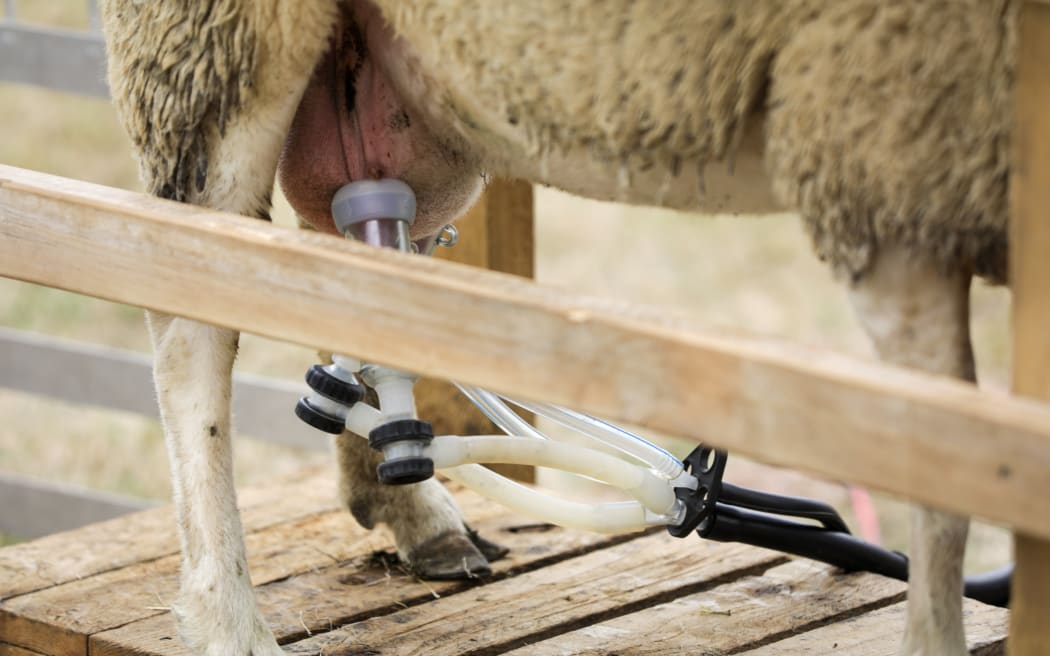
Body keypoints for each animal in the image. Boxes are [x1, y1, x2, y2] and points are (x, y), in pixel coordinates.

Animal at [100, 1, 1016, 654]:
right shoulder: (883, 155)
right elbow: (943, 482)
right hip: (208, 45)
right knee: (189, 319)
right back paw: (230, 627)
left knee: (333, 279)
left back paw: (415, 512)